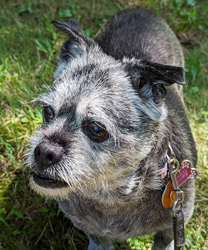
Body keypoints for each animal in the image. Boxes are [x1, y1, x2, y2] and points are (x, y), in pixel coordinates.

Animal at [26, 7, 197, 250]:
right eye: (48, 111)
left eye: (96, 128)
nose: (43, 152)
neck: (113, 195)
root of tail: (139, 9)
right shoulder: (94, 233)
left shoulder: (170, 230)